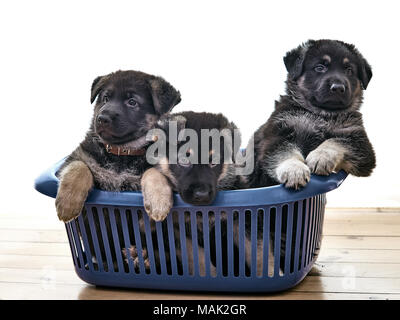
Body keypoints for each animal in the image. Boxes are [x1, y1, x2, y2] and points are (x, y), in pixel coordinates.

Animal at [55, 69, 180, 222]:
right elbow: (79, 166)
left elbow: (154, 171)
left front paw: (158, 202)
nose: (102, 119)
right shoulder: (78, 155)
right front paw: (68, 203)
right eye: (106, 99)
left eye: (132, 102)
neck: (122, 151)